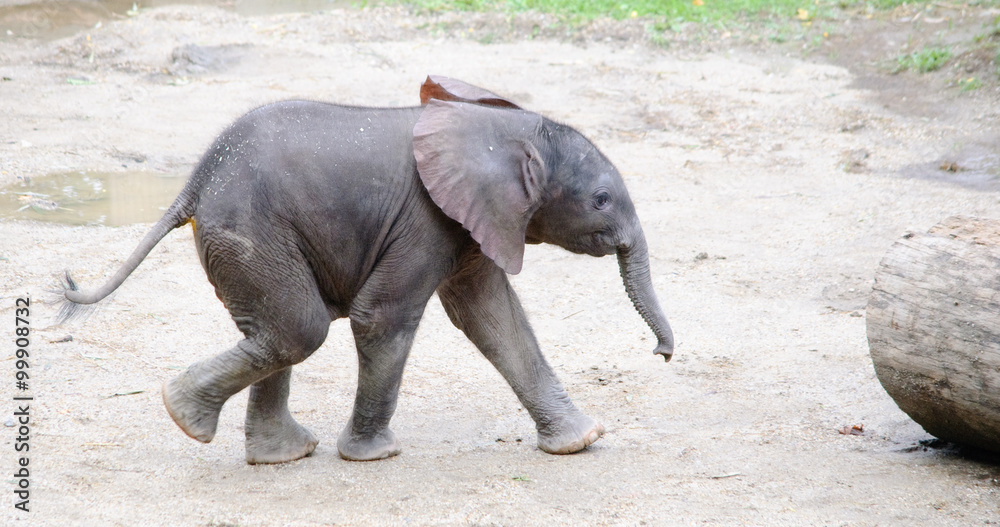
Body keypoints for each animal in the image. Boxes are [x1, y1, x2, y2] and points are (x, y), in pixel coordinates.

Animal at [59, 75, 674, 465]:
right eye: (600, 201)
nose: (662, 354)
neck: (505, 130)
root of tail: (194, 182)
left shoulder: (472, 224)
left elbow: (494, 319)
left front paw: (581, 441)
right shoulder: (427, 219)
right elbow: (384, 317)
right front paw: (375, 455)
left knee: (275, 331)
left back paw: (275, 454)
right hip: (251, 231)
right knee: (298, 328)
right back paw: (184, 415)